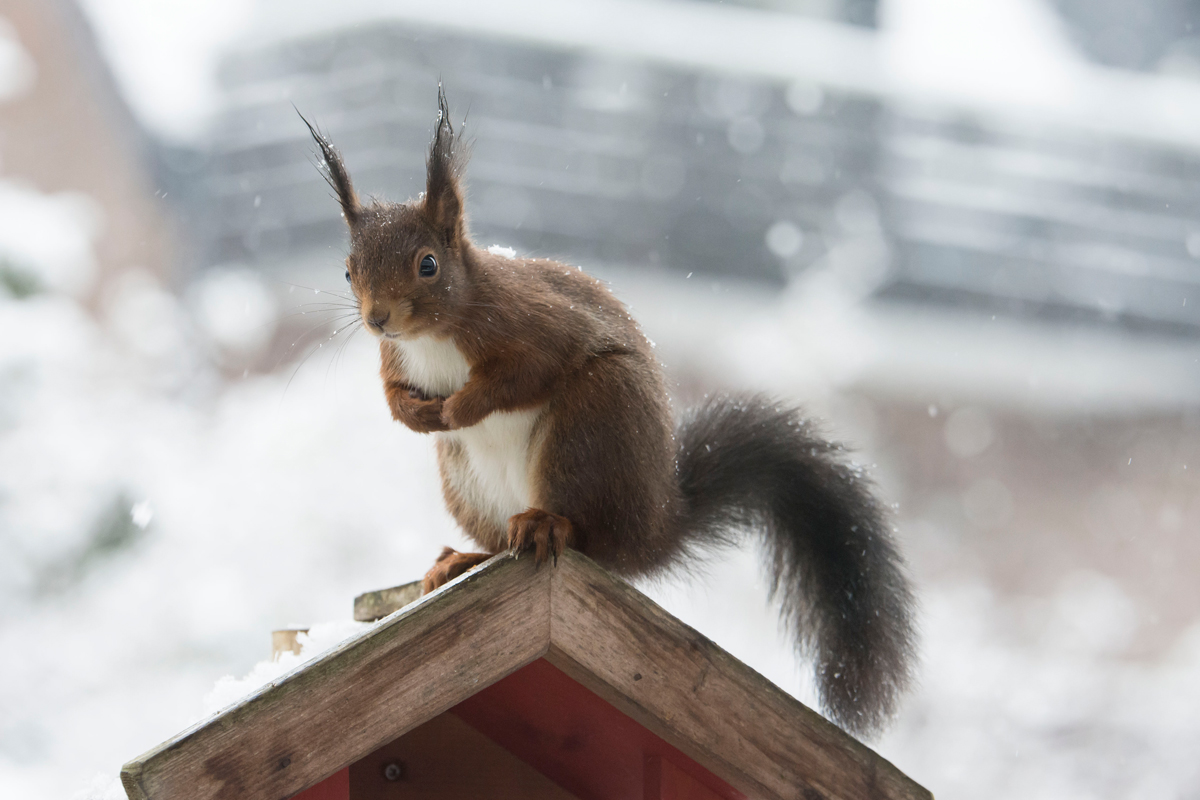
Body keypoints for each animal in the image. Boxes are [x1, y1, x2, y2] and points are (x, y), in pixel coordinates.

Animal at [301, 87, 916, 737]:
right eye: (348, 270)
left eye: (427, 264)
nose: (378, 319)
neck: (433, 335)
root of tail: (652, 524)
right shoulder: (396, 360)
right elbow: (394, 395)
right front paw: (418, 414)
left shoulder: (531, 324)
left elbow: (524, 373)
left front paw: (463, 403)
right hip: (466, 479)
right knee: (503, 544)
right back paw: (464, 559)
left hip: (591, 425)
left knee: (588, 535)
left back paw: (547, 525)